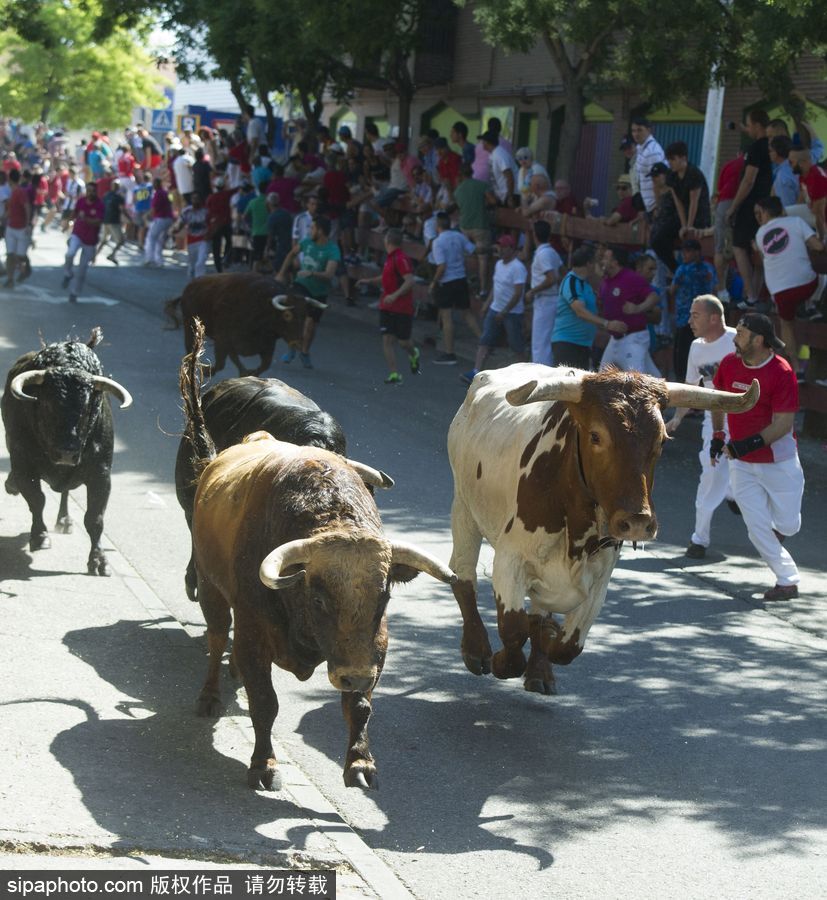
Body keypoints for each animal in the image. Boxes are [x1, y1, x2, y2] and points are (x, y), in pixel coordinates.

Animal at [446, 364, 756, 696]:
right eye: (595, 435)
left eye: (662, 440)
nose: (637, 521)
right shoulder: (510, 559)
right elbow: (514, 630)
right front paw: (502, 661)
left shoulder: (600, 577)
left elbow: (567, 646)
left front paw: (548, 641)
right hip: (463, 509)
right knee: (462, 576)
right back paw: (476, 649)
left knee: (539, 611)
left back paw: (540, 670)